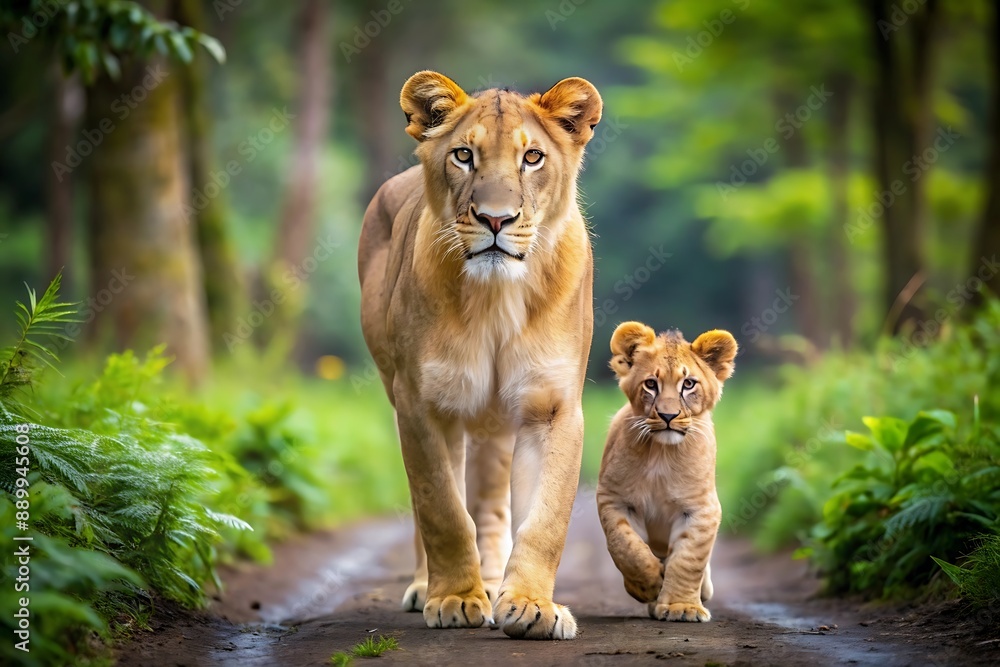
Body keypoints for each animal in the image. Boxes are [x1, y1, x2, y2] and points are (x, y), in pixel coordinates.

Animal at [358, 71, 602, 639]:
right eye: (464, 155)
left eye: (532, 157)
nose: (496, 219)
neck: (496, 298)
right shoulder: (421, 403)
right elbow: (442, 509)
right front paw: (454, 600)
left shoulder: (552, 406)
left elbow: (545, 518)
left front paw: (532, 605)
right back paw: (434, 588)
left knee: (491, 502)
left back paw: (494, 583)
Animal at [596, 322, 737, 622]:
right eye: (651, 384)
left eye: (689, 384)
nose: (668, 416)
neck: (661, 453)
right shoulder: (614, 499)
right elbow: (625, 547)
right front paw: (647, 585)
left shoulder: (701, 508)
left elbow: (688, 560)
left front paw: (681, 607)